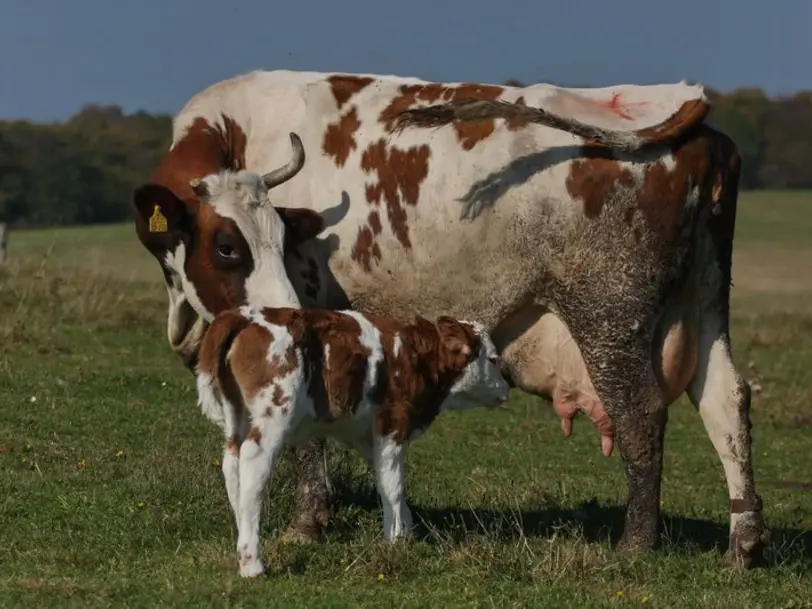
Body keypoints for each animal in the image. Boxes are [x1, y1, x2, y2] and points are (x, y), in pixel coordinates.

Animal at [195, 302, 508, 576]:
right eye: (493, 359)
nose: (506, 389)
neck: (416, 357)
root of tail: (246, 313)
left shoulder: (367, 436)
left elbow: (388, 481)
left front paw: (406, 532)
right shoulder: (393, 425)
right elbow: (393, 487)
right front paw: (395, 542)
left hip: (236, 415)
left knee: (232, 466)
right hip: (273, 417)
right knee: (253, 469)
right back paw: (252, 564)